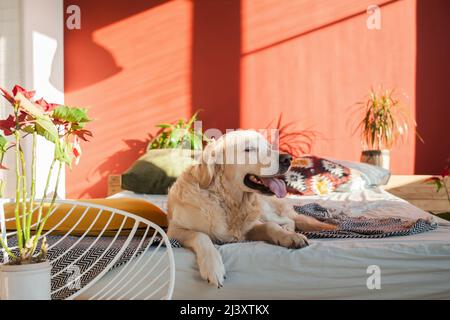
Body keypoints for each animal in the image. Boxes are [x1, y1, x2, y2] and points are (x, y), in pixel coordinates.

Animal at [167, 130, 336, 288]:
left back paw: (289, 231)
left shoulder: (250, 228)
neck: (227, 200)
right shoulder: (174, 230)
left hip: (264, 210)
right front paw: (213, 267)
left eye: (269, 147)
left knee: (287, 220)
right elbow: (200, 235)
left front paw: (289, 237)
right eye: (249, 149)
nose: (288, 159)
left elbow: (270, 227)